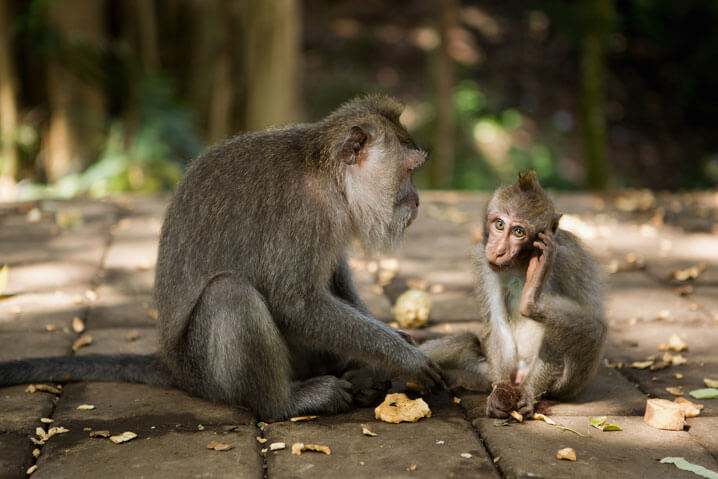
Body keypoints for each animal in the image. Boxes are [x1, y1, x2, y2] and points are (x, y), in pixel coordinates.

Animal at [0, 96, 444, 420]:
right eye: (408, 171)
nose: (417, 199)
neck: (326, 175)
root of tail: (173, 365)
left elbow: (335, 280)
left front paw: (392, 346)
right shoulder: (300, 213)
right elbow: (296, 304)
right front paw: (400, 355)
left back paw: (359, 376)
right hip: (205, 372)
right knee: (228, 293)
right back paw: (285, 403)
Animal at [478, 171, 608, 418]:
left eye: (518, 232)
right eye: (499, 224)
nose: (498, 251)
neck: (520, 263)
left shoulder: (564, 262)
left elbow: (558, 339)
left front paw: (528, 393)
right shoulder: (485, 264)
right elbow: (498, 323)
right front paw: (499, 392)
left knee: (595, 330)